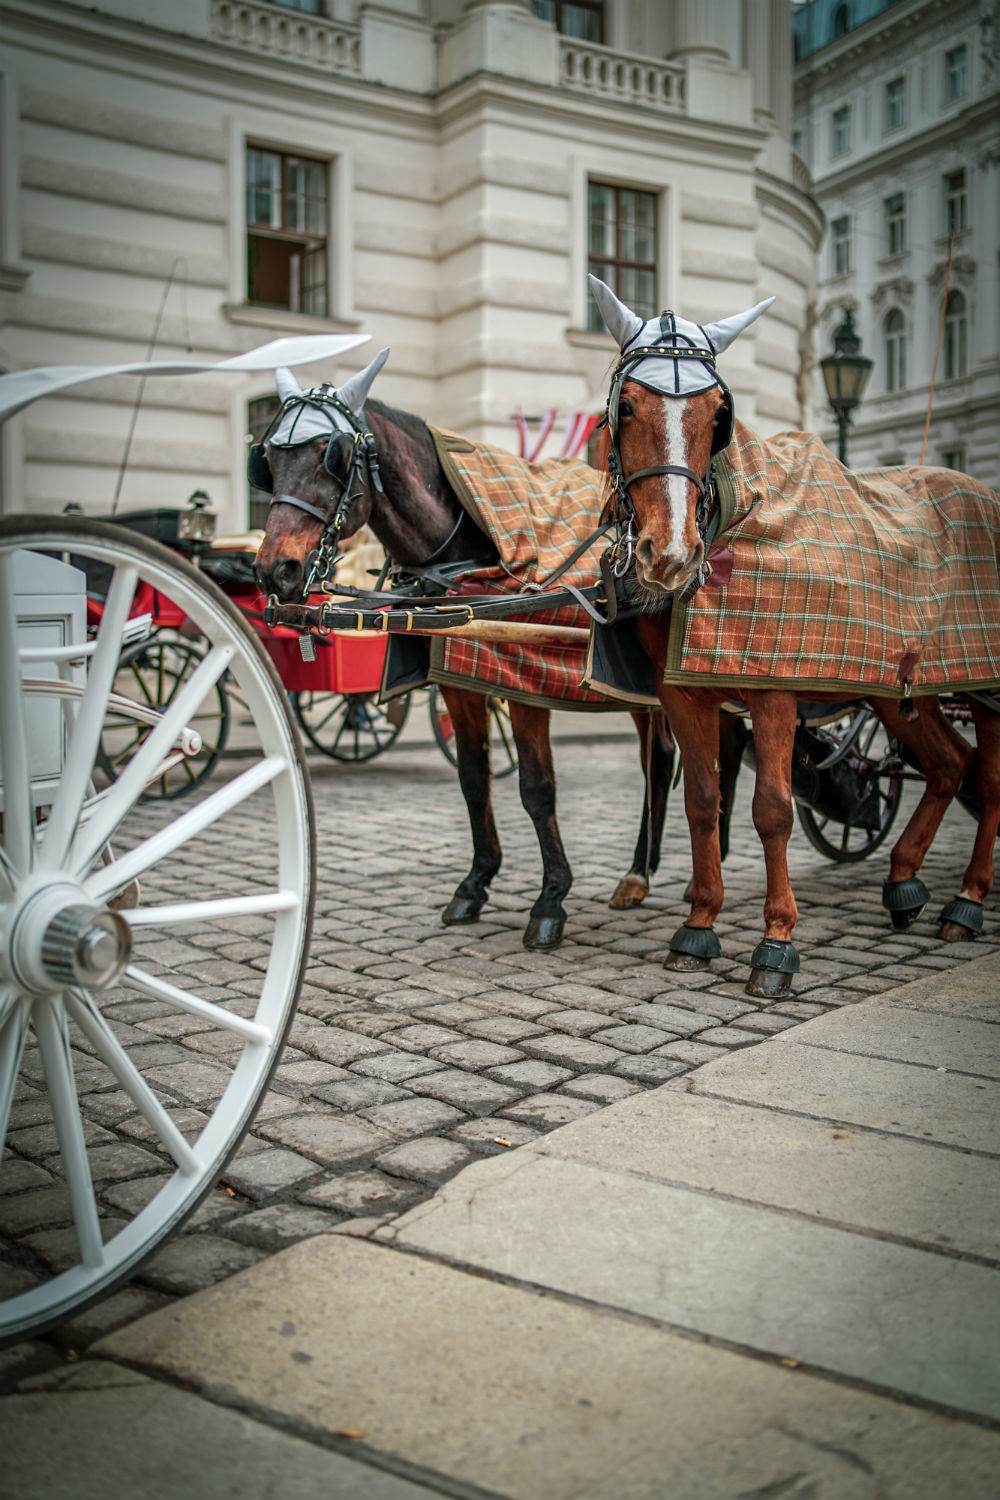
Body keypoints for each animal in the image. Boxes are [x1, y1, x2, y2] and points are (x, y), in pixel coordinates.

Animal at [252, 351, 743, 950]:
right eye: (268, 459)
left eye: (333, 458)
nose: (274, 568)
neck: (470, 554)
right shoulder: (461, 684)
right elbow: (473, 780)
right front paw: (476, 882)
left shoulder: (523, 684)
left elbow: (536, 787)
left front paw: (551, 898)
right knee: (669, 759)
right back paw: (641, 874)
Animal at [588, 274, 1000, 998]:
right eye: (628, 407)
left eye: (716, 413)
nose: (671, 555)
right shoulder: (684, 694)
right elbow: (703, 801)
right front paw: (699, 924)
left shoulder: (773, 689)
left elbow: (772, 809)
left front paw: (776, 942)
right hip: (902, 689)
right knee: (952, 764)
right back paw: (903, 882)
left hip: (983, 689)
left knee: (993, 778)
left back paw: (969, 899)